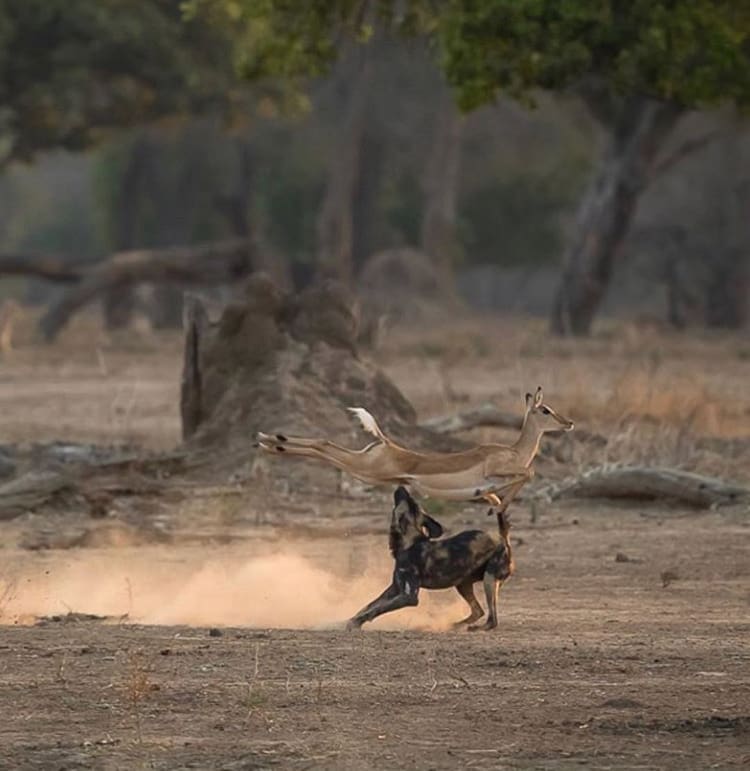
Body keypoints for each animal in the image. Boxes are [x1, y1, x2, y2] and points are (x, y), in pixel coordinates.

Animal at [256, 386, 573, 512]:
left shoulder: (488, 489)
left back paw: (267, 440)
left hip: (364, 468)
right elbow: (530, 473)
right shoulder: (497, 469)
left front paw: (496, 507)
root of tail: (386, 442)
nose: (569, 422)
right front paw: (502, 506)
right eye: (545, 410)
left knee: (325, 447)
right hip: (366, 470)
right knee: (323, 444)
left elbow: (499, 493)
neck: (515, 450)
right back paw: (266, 441)